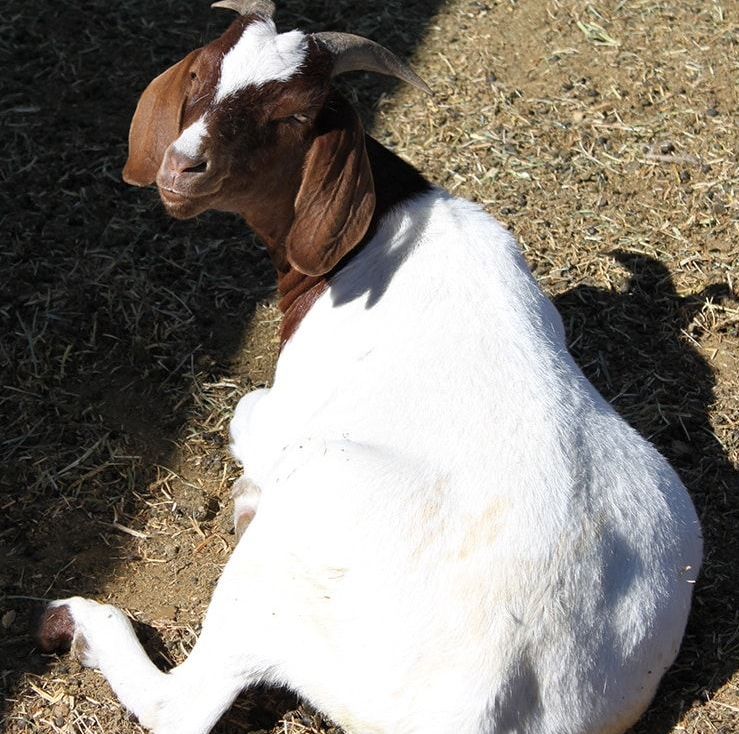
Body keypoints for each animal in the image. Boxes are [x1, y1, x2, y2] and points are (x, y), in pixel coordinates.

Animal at [38, 2, 703, 733]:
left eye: (295, 114)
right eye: (199, 74)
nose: (183, 167)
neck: (378, 224)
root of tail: (487, 697)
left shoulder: (287, 413)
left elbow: (245, 415)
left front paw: (245, 487)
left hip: (286, 555)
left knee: (183, 703)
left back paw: (81, 620)